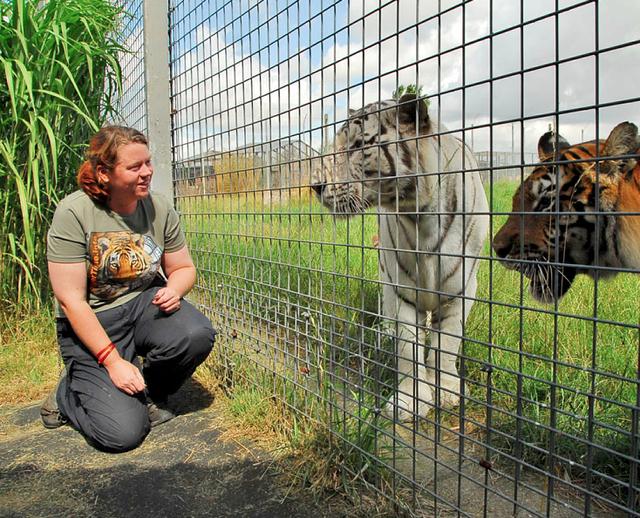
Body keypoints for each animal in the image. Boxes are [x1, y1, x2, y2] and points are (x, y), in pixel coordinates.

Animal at [312, 94, 488, 422]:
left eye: (358, 146)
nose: (315, 186)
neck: (420, 216)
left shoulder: (460, 291)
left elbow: (448, 343)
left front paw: (446, 392)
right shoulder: (403, 288)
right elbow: (408, 349)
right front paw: (410, 401)